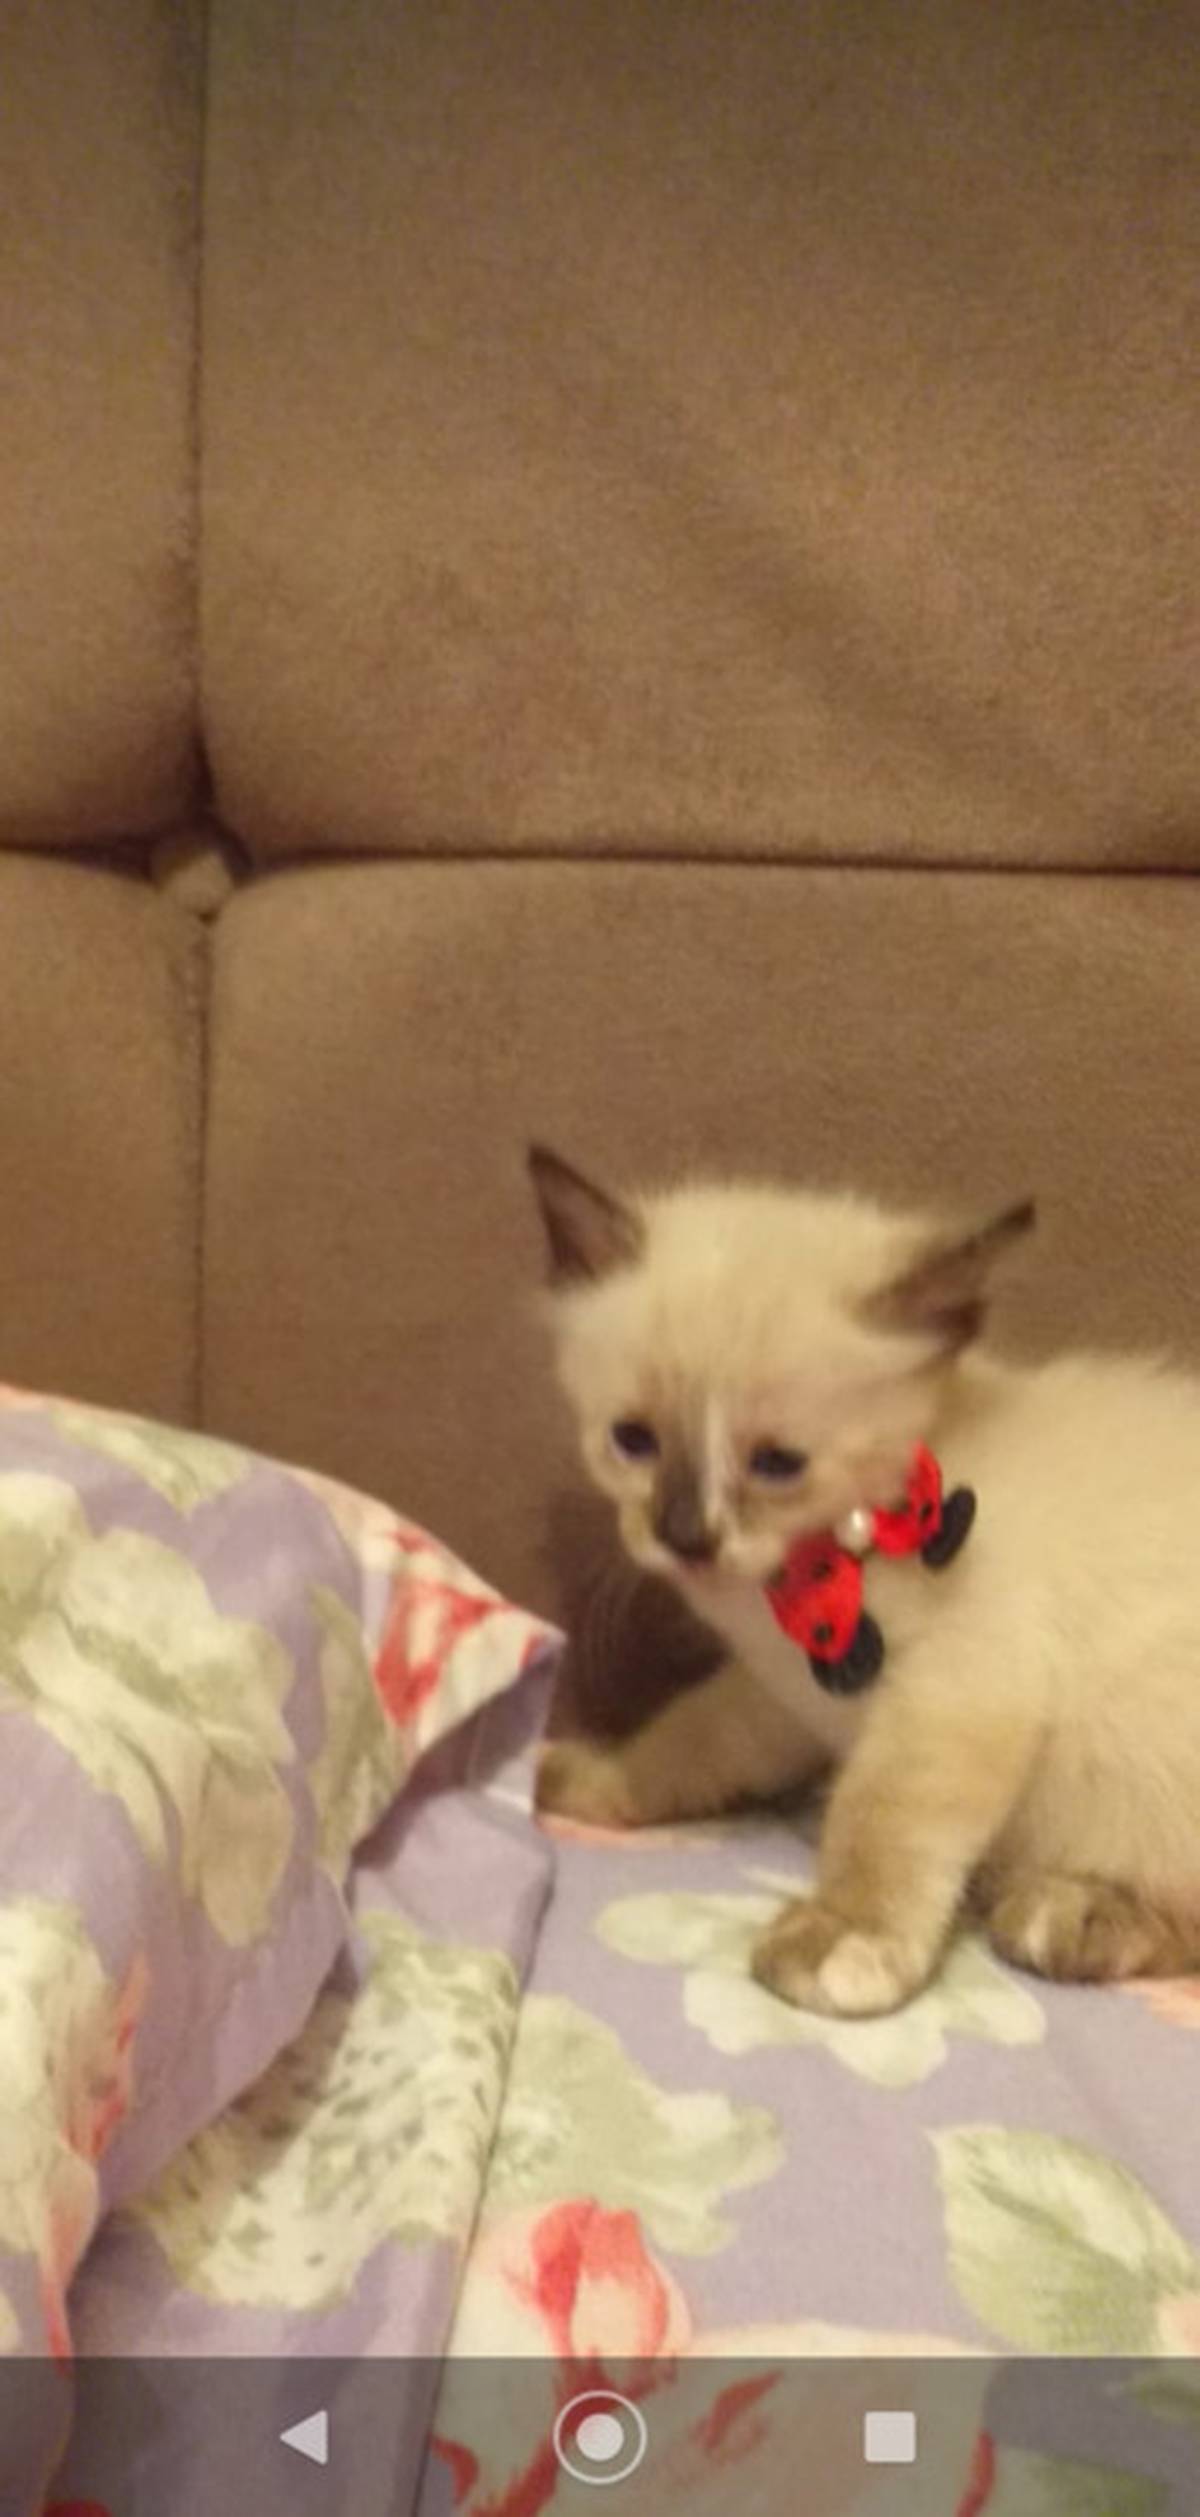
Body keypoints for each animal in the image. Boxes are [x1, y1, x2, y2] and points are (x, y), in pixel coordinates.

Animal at [527, 1143, 1200, 2019]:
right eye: (634, 1440)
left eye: (778, 1463)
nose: (686, 1536)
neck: (800, 1581)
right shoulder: (776, 1696)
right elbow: (685, 1744)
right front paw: (590, 1781)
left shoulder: (957, 1693)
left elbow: (880, 1816)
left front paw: (844, 1937)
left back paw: (1067, 1916)